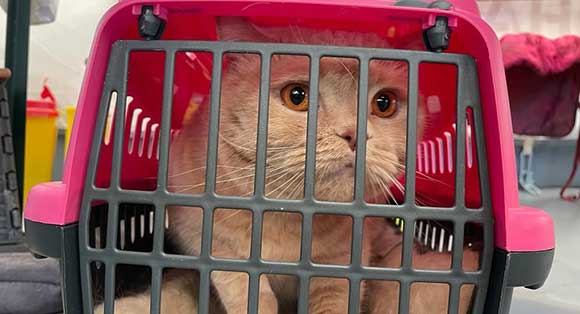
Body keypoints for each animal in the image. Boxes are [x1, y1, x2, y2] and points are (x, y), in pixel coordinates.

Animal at [95, 16, 478, 314]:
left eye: (384, 104)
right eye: (297, 96)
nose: (354, 134)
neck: (286, 216)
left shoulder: (337, 272)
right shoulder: (216, 249)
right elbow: (245, 293)